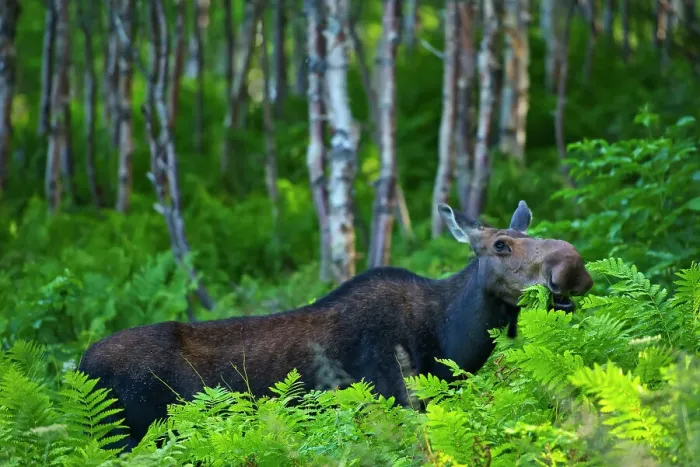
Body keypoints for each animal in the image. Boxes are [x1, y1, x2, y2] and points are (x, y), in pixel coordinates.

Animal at [78, 200, 594, 451]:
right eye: (501, 245)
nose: (571, 266)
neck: (448, 340)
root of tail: (78, 366)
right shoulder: (393, 400)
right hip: (127, 438)